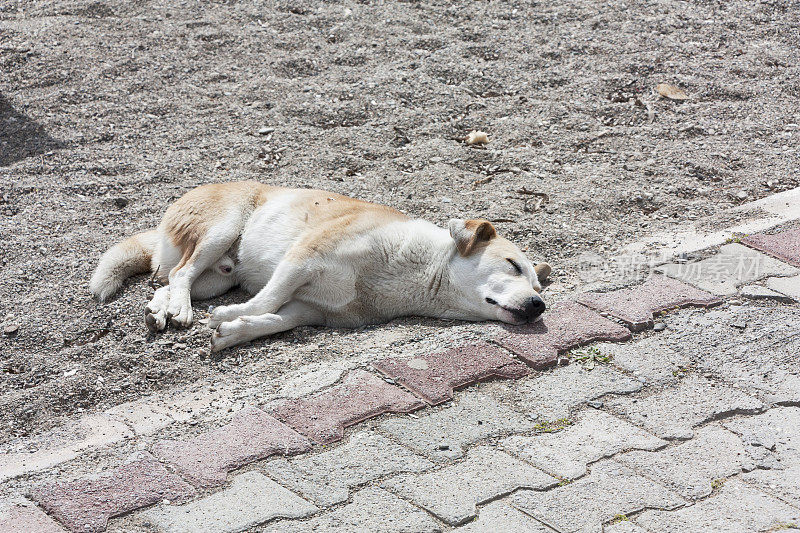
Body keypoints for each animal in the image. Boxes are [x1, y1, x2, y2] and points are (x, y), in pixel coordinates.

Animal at [89, 181, 552, 352]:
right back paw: (181, 310)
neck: (415, 272)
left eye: (538, 288)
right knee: (178, 274)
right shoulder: (304, 257)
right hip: (222, 230)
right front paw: (229, 317)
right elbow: (267, 299)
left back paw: (161, 310)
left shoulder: (312, 309)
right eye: (512, 265)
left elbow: (274, 319)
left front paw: (235, 332)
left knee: (165, 281)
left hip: (216, 278)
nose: (539, 306)